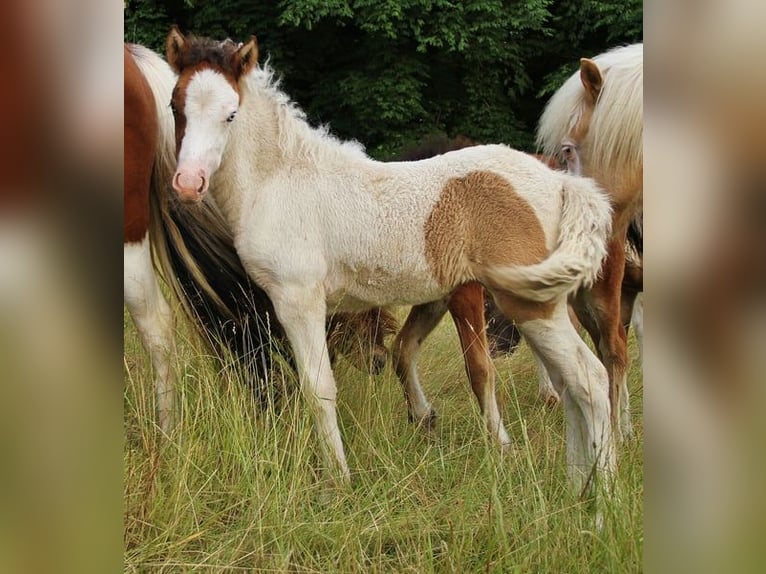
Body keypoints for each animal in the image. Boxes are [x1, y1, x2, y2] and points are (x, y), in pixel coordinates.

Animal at [165, 28, 615, 495]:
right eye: (175, 106)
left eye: (231, 114)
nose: (188, 183)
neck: (280, 181)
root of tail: (561, 182)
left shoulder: (298, 300)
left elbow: (319, 389)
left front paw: (338, 481)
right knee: (570, 383)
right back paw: (577, 483)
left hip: (529, 302)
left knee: (590, 378)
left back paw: (603, 494)